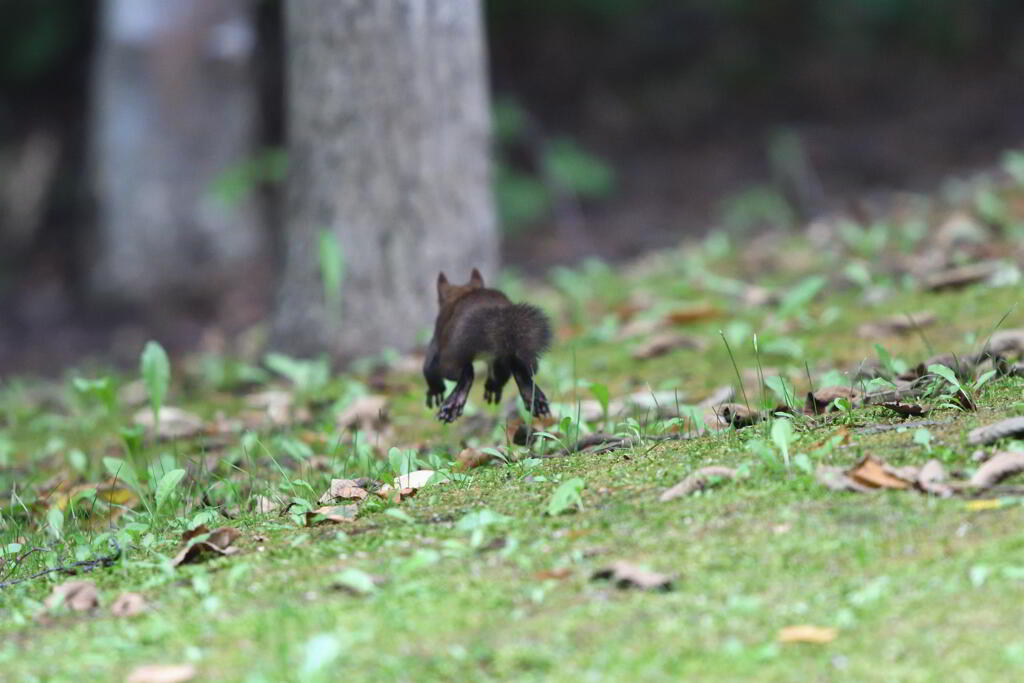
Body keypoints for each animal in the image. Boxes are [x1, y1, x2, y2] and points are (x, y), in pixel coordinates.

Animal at [421, 268, 552, 421]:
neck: (464, 291)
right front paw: (494, 388)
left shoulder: (436, 342)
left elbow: (428, 369)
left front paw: (435, 391)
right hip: (520, 353)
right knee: (519, 369)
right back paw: (534, 399)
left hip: (451, 358)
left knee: (467, 372)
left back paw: (454, 404)